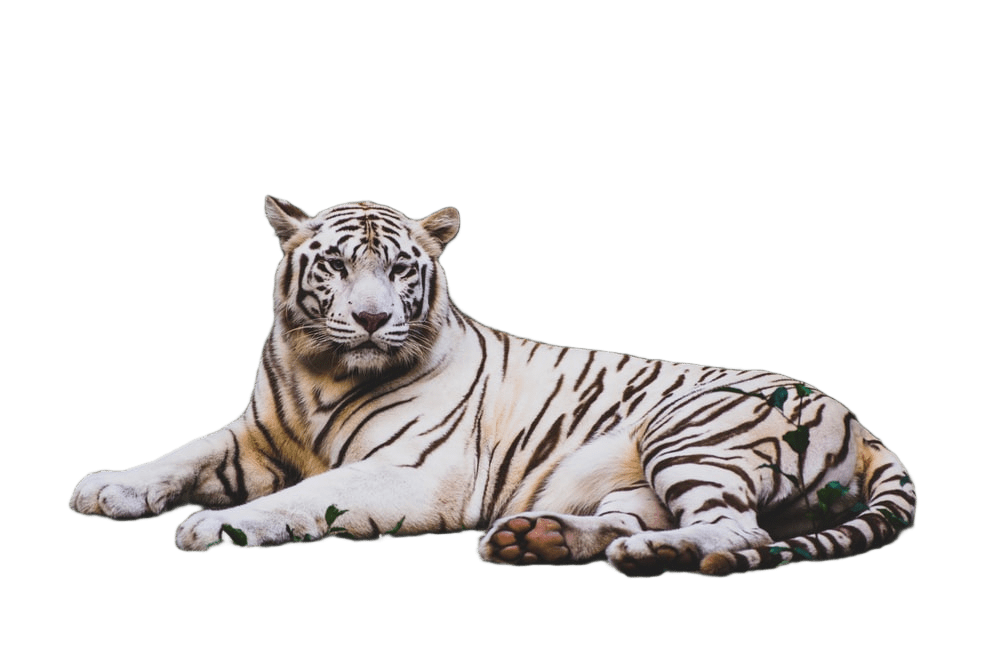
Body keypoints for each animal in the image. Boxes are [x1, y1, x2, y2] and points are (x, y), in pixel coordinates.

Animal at [68, 196, 917, 576]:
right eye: (337, 264)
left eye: (400, 268)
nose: (372, 319)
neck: (321, 372)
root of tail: (863, 422)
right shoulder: (253, 435)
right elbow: (182, 452)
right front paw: (108, 486)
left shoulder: (414, 472)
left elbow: (305, 496)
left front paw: (217, 526)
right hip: (637, 475)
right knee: (633, 516)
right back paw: (536, 537)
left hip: (688, 432)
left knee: (740, 529)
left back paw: (652, 552)